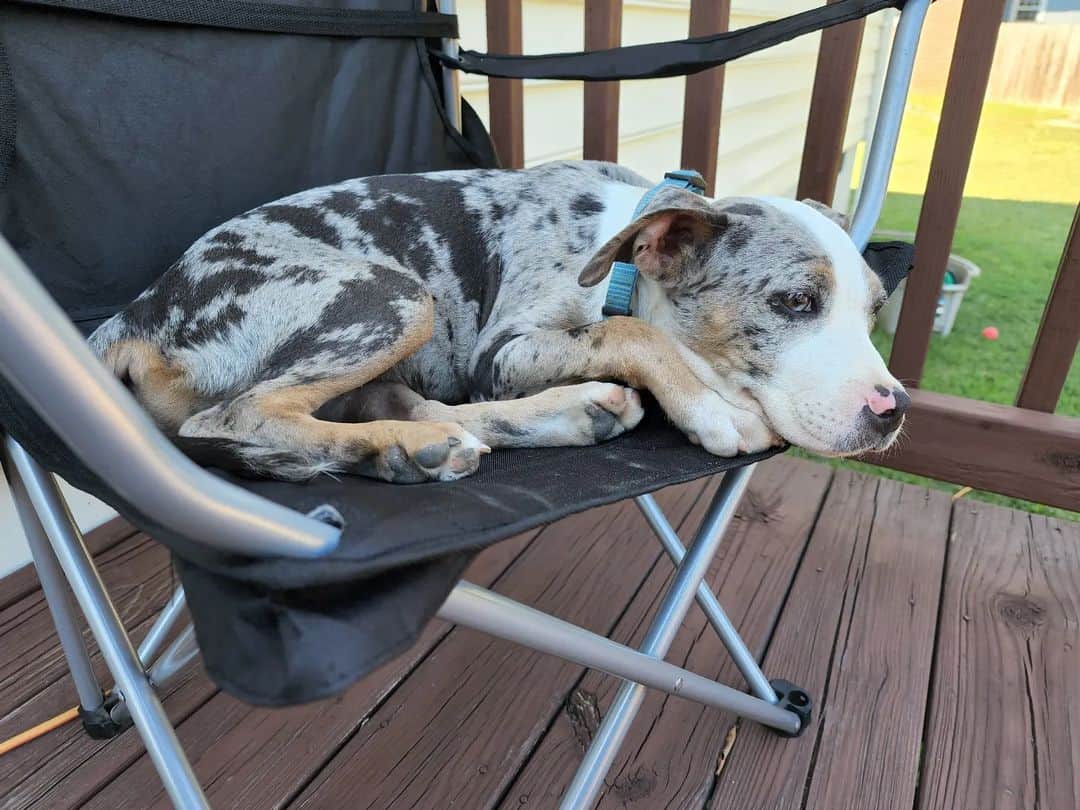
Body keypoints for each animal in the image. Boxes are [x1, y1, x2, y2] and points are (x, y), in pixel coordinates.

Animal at [88, 162, 907, 486]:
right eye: (795, 302)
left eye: (875, 308)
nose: (893, 410)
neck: (614, 262)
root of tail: (133, 312)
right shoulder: (503, 351)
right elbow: (632, 334)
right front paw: (712, 407)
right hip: (394, 296)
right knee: (238, 418)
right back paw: (398, 447)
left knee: (420, 409)